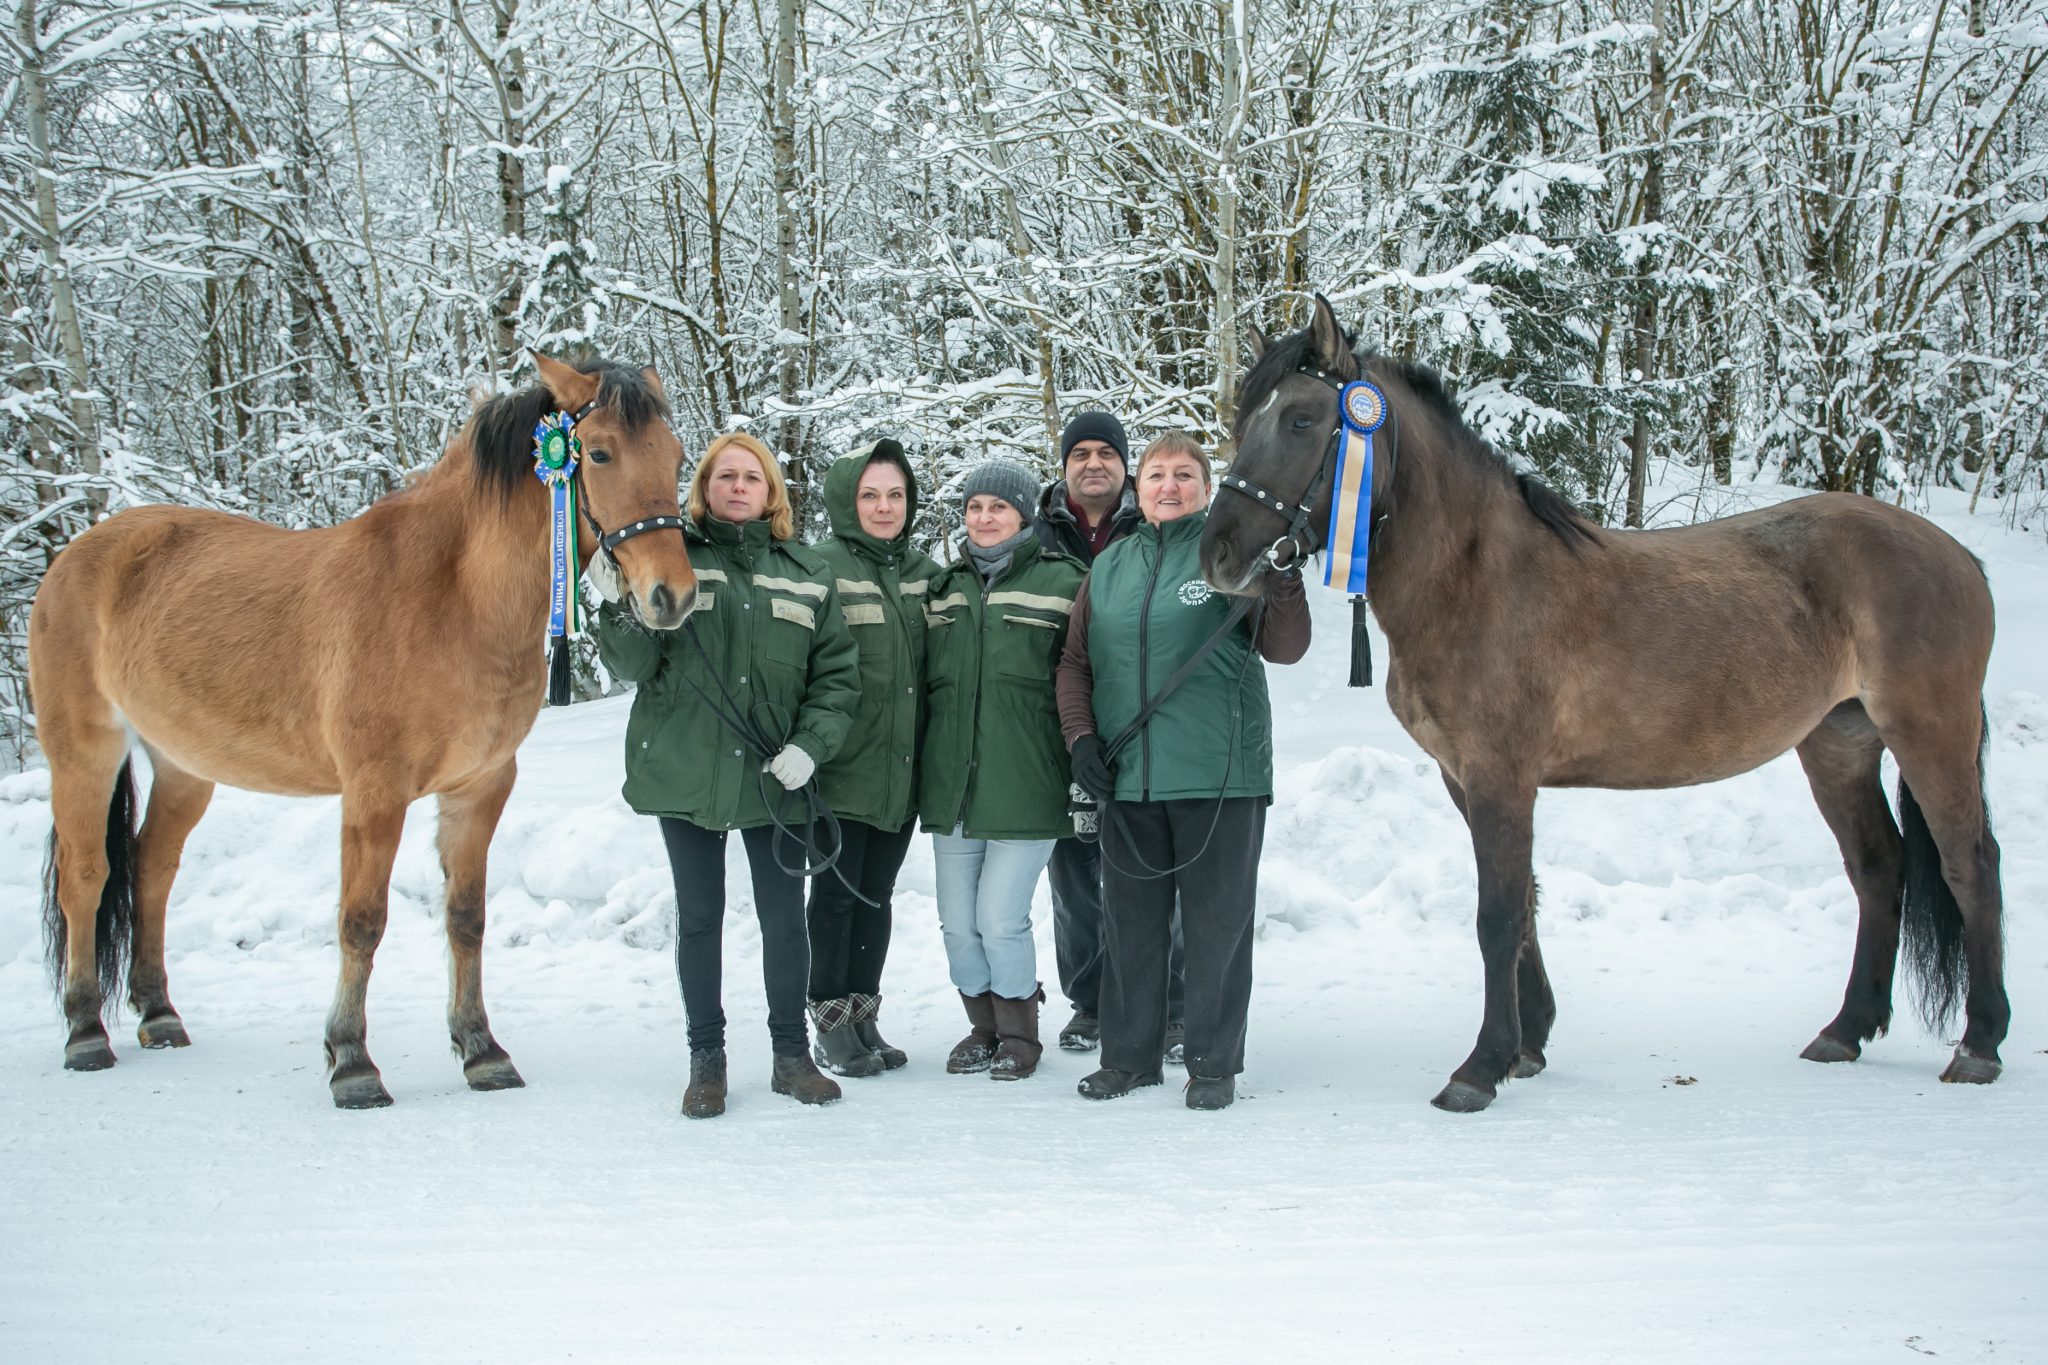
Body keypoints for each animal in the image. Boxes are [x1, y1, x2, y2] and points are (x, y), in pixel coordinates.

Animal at [32, 356, 700, 1113]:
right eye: (600, 453)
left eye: (675, 456)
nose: (673, 595)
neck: (451, 599)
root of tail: (76, 553)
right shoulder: (374, 793)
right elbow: (361, 921)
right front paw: (351, 1060)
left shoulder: (480, 787)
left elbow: (465, 918)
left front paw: (481, 1050)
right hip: (83, 756)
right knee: (86, 878)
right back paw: (86, 1030)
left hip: (182, 769)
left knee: (151, 869)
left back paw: (159, 1014)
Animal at [1196, 296, 2007, 1113]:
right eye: (1246, 419)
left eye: (1302, 419)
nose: (1218, 553)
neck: (1475, 579)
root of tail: (1959, 555)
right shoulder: (1465, 778)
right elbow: (1523, 904)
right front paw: (1528, 1043)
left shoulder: (1501, 776)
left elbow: (1498, 914)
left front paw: (1480, 1067)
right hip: (1839, 744)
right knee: (1878, 866)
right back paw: (1846, 1029)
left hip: (1929, 733)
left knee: (1970, 865)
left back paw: (1980, 1043)